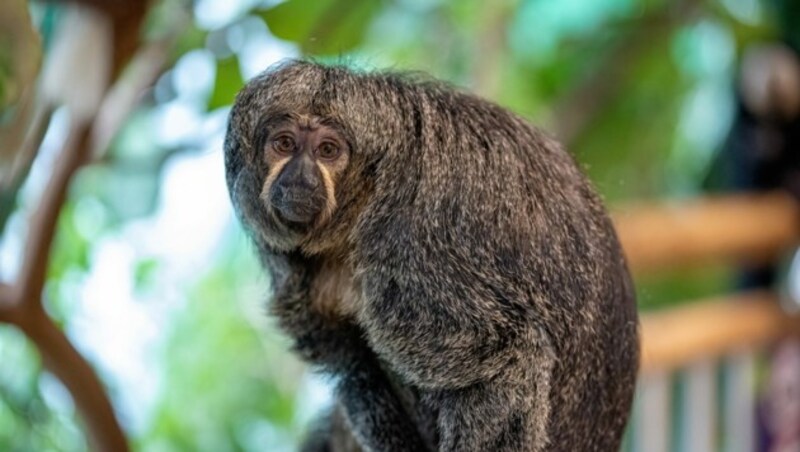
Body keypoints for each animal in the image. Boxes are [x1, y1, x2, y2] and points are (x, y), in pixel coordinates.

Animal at [222, 60, 640, 452]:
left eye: (328, 151)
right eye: (284, 144)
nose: (300, 177)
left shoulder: (407, 245)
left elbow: (511, 360)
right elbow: (354, 366)